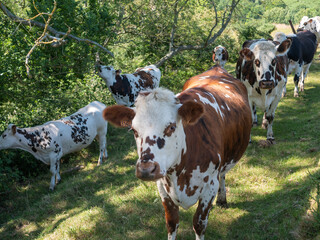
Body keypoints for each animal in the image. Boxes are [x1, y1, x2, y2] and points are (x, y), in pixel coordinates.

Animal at [102, 64, 252, 239]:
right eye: (134, 130)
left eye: (172, 127)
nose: (146, 169)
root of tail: (216, 69)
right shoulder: (163, 188)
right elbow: (172, 223)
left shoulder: (210, 187)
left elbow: (199, 224)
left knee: (222, 174)